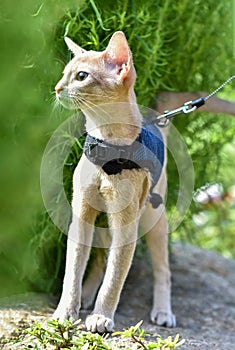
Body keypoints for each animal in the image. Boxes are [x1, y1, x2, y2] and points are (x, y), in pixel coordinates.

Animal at [53, 31, 174, 332]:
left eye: (81, 76)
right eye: (65, 74)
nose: (57, 88)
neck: (107, 147)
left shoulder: (126, 225)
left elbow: (115, 277)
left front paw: (101, 317)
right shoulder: (82, 215)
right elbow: (73, 269)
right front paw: (65, 312)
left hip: (154, 219)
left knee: (163, 270)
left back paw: (163, 311)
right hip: (103, 222)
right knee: (98, 259)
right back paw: (86, 296)